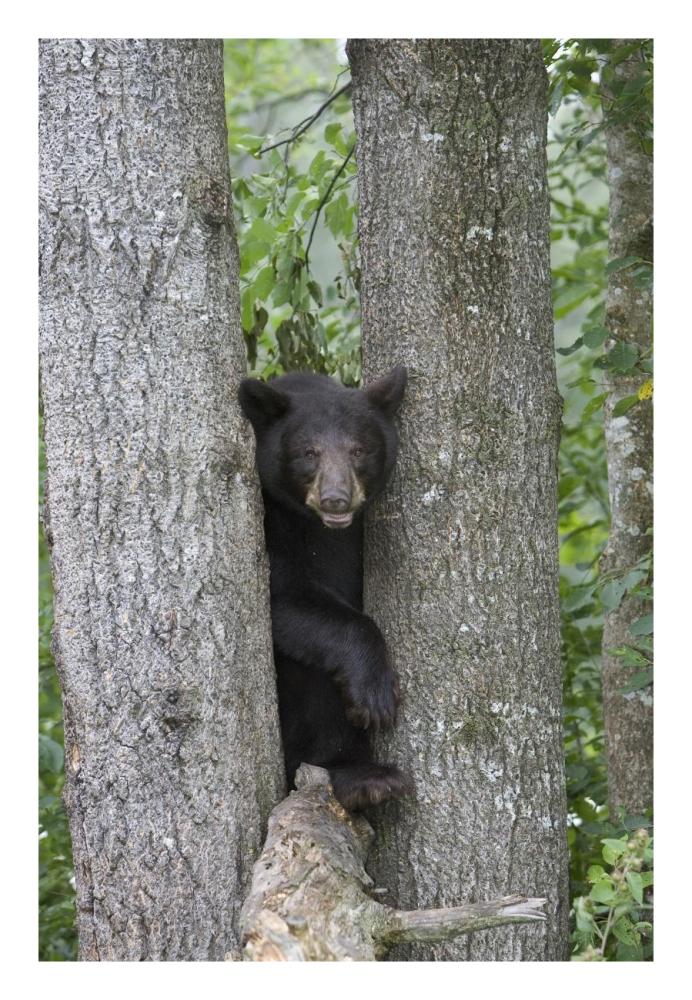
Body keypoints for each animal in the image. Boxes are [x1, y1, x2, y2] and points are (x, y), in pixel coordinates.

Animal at [238, 366, 412, 810]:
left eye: (358, 450)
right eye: (309, 452)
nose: (336, 498)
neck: (320, 528)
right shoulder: (270, 523)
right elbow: (284, 596)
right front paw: (375, 691)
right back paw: (360, 777)